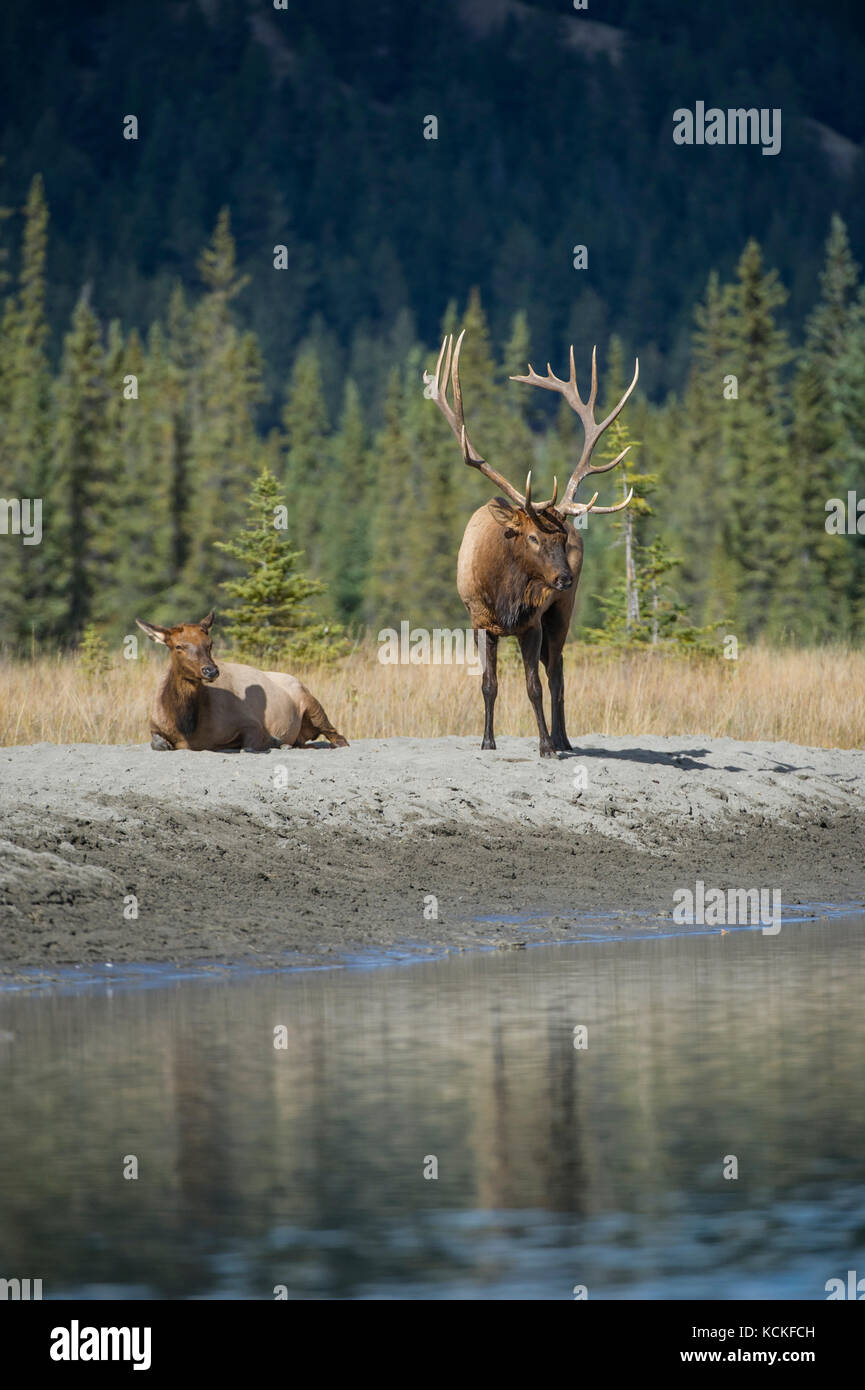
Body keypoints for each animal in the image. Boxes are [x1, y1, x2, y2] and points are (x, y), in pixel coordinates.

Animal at [135, 611, 349, 752]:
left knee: (337, 735)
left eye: (210, 643)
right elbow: (158, 743)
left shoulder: (250, 722)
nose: (211, 670)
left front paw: (274, 741)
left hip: (312, 703)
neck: (187, 728)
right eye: (178, 646)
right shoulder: (154, 726)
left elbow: (250, 745)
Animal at [424, 330, 638, 758]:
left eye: (562, 537)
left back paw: (562, 738)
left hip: (561, 613)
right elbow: (488, 685)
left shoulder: (533, 622)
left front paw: (545, 745)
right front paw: (487, 740)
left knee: (556, 672)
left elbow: (535, 686)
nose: (564, 578)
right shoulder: (479, 621)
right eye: (534, 536)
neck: (504, 594)